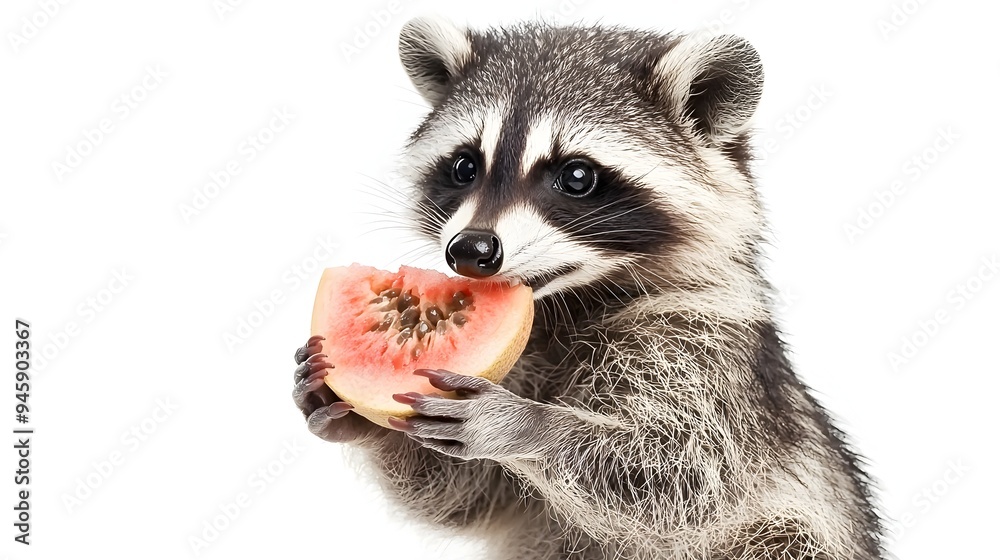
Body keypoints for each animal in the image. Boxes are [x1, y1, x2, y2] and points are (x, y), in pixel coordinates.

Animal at [292, 18, 885, 560]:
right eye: (464, 166)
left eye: (577, 177)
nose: (470, 249)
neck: (568, 301)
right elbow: (469, 490)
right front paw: (369, 424)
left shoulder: (708, 351)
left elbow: (681, 473)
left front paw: (527, 425)